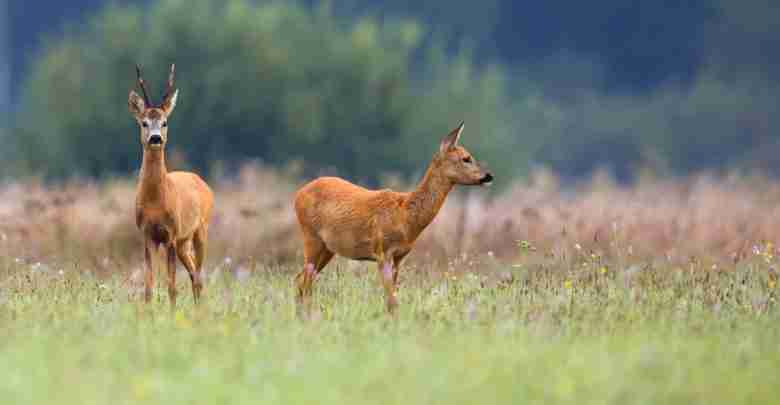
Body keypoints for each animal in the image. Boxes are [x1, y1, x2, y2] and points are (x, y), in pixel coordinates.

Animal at [128, 64, 214, 309]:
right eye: (144, 123)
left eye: (165, 122)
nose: (155, 138)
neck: (156, 201)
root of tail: (201, 181)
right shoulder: (147, 234)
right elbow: (148, 286)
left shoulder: (171, 234)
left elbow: (171, 286)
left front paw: (172, 312)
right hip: (184, 242)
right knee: (194, 274)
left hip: (200, 230)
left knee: (199, 275)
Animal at [294, 122, 493, 313]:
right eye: (466, 158)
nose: (488, 176)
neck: (405, 217)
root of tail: (298, 194)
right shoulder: (382, 251)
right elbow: (391, 301)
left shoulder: (399, 257)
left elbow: (392, 299)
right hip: (310, 236)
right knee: (303, 281)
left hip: (327, 248)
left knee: (301, 280)